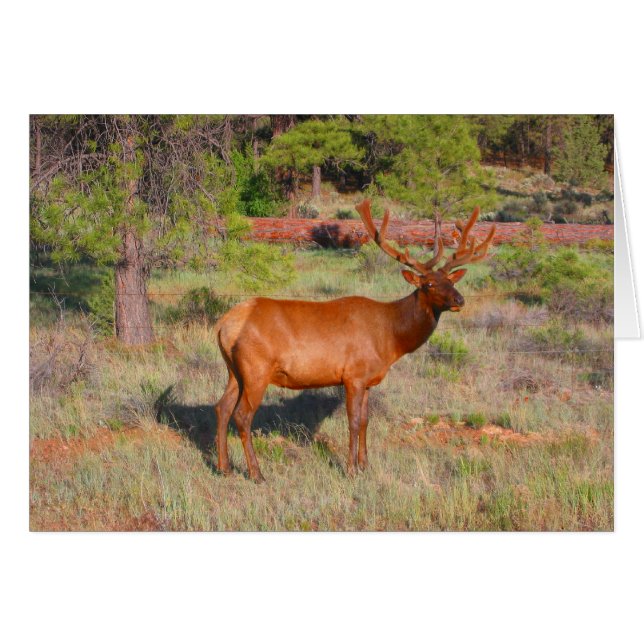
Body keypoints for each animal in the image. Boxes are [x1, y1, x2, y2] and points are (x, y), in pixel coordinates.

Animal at [213, 199, 495, 482]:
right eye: (428, 284)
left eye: (450, 280)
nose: (459, 300)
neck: (391, 339)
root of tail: (225, 324)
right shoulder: (353, 376)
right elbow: (353, 421)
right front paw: (350, 469)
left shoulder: (369, 380)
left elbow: (366, 421)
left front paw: (365, 465)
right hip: (256, 369)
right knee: (242, 415)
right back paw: (256, 473)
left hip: (234, 371)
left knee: (222, 407)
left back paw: (224, 467)